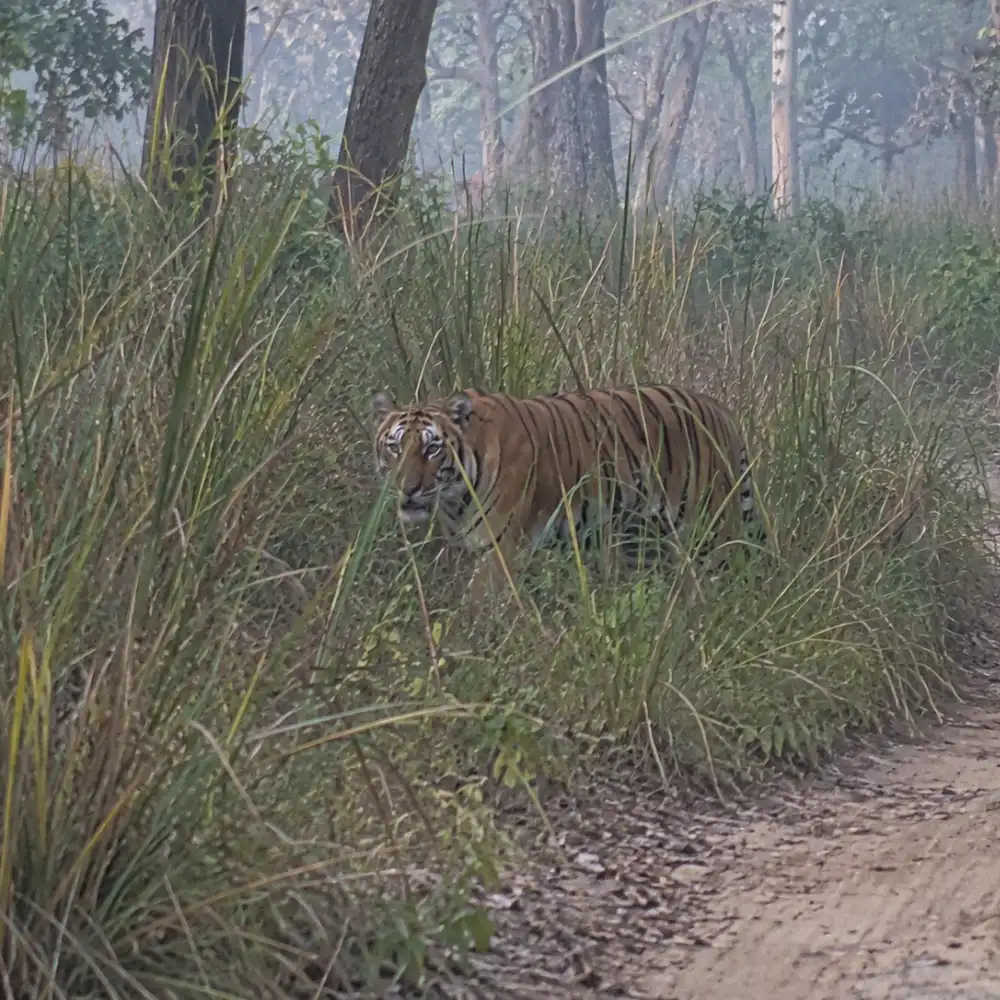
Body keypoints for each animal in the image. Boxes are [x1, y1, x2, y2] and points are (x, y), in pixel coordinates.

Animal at [371, 384, 766, 598]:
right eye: (395, 447)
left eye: (432, 448)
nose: (407, 489)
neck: (453, 497)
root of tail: (721, 411)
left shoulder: (500, 551)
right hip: (643, 540)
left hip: (711, 533)